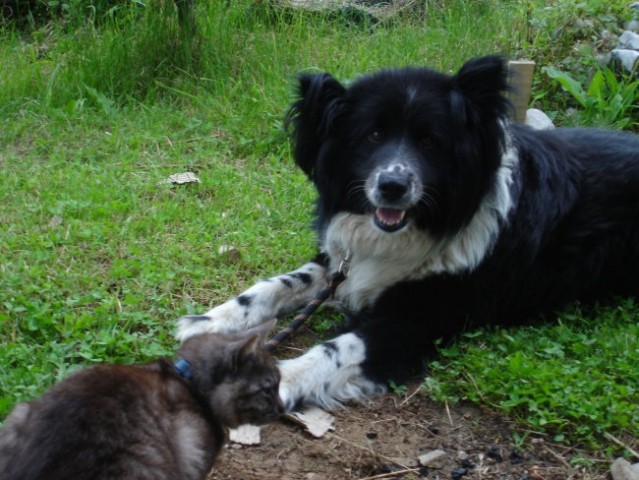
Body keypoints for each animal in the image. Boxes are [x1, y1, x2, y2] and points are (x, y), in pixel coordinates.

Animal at [178, 55, 639, 408]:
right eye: (373, 135)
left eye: (431, 142)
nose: (392, 186)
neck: (423, 225)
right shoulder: (343, 261)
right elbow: (278, 284)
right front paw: (209, 320)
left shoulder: (416, 319)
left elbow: (339, 347)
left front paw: (283, 378)